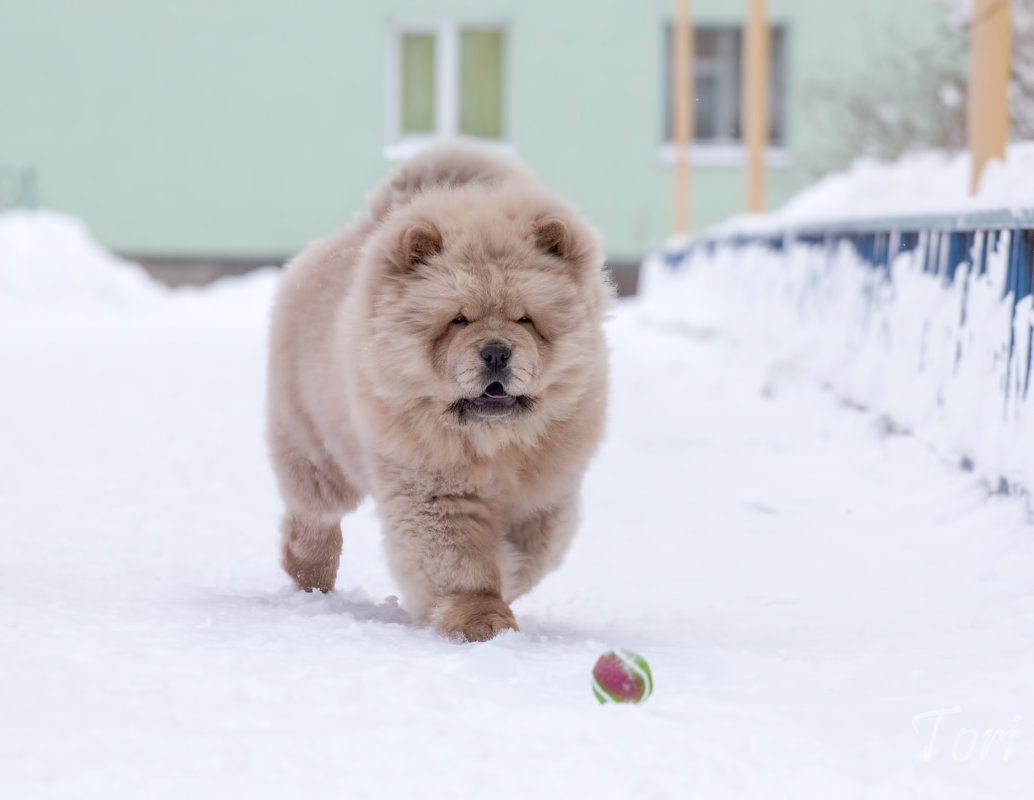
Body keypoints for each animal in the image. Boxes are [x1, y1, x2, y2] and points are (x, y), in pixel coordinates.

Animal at [266, 142, 612, 644]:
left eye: (526, 319)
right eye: (458, 319)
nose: (496, 351)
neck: (494, 444)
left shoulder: (549, 490)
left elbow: (534, 553)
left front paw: (504, 576)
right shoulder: (431, 487)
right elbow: (459, 560)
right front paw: (481, 621)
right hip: (311, 438)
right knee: (314, 512)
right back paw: (310, 575)